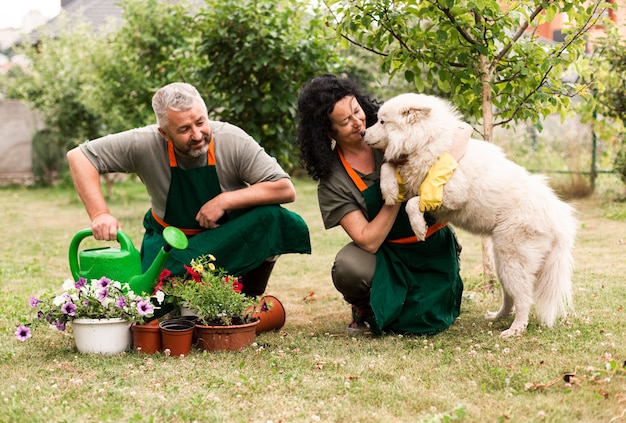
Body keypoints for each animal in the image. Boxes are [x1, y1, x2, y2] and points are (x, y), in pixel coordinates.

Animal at [360, 93, 576, 338]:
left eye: (382, 122)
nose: (362, 133)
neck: (427, 142)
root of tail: (558, 216)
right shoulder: (409, 174)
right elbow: (388, 168)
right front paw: (389, 191)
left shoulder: (450, 194)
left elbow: (414, 203)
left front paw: (418, 228)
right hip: (502, 262)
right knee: (510, 297)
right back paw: (497, 317)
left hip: (513, 260)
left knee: (523, 299)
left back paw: (515, 329)